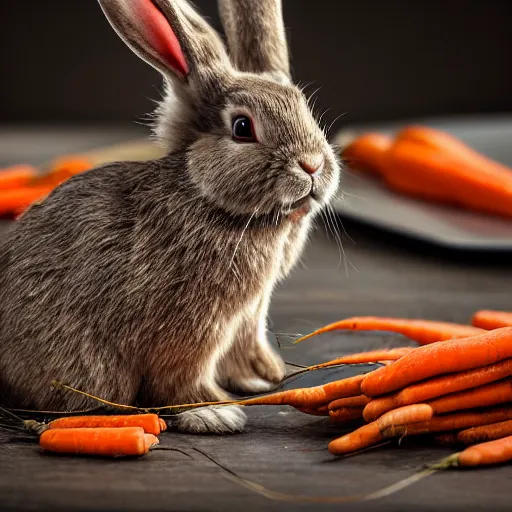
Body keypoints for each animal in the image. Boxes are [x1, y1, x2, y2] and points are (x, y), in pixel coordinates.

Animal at [0, 0, 342, 434]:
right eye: (242, 127)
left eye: (303, 108)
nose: (312, 165)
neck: (208, 199)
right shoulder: (193, 328)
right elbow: (180, 380)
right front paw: (214, 412)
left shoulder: (246, 316)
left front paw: (257, 380)